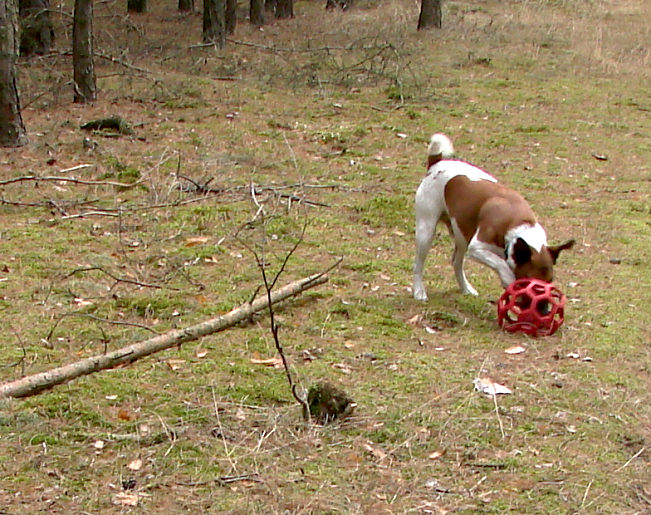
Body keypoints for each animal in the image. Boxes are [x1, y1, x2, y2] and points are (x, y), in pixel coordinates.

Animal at [412, 134, 576, 302]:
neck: (519, 222)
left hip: (461, 234)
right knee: (418, 264)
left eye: (550, 281)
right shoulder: (477, 247)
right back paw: (419, 291)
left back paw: (466, 288)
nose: (543, 306)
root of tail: (437, 162)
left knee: (456, 262)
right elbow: (501, 264)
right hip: (427, 230)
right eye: (528, 281)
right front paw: (509, 279)